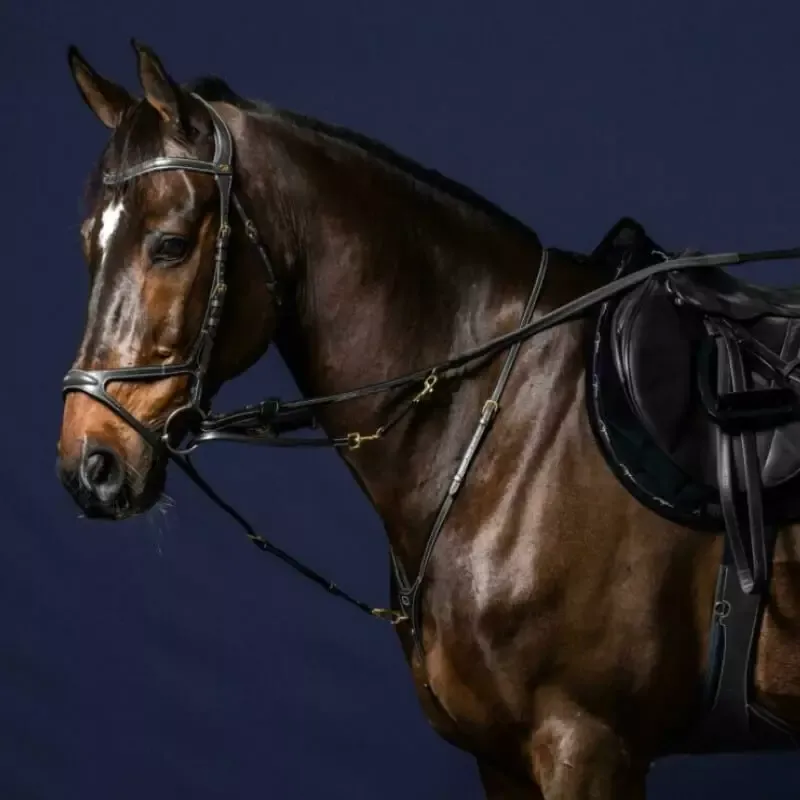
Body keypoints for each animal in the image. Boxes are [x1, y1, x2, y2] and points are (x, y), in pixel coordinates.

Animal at [56, 40, 800, 798]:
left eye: (171, 245)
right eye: (90, 242)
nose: (92, 461)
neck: (510, 419)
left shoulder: (591, 747)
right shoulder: (501, 756)